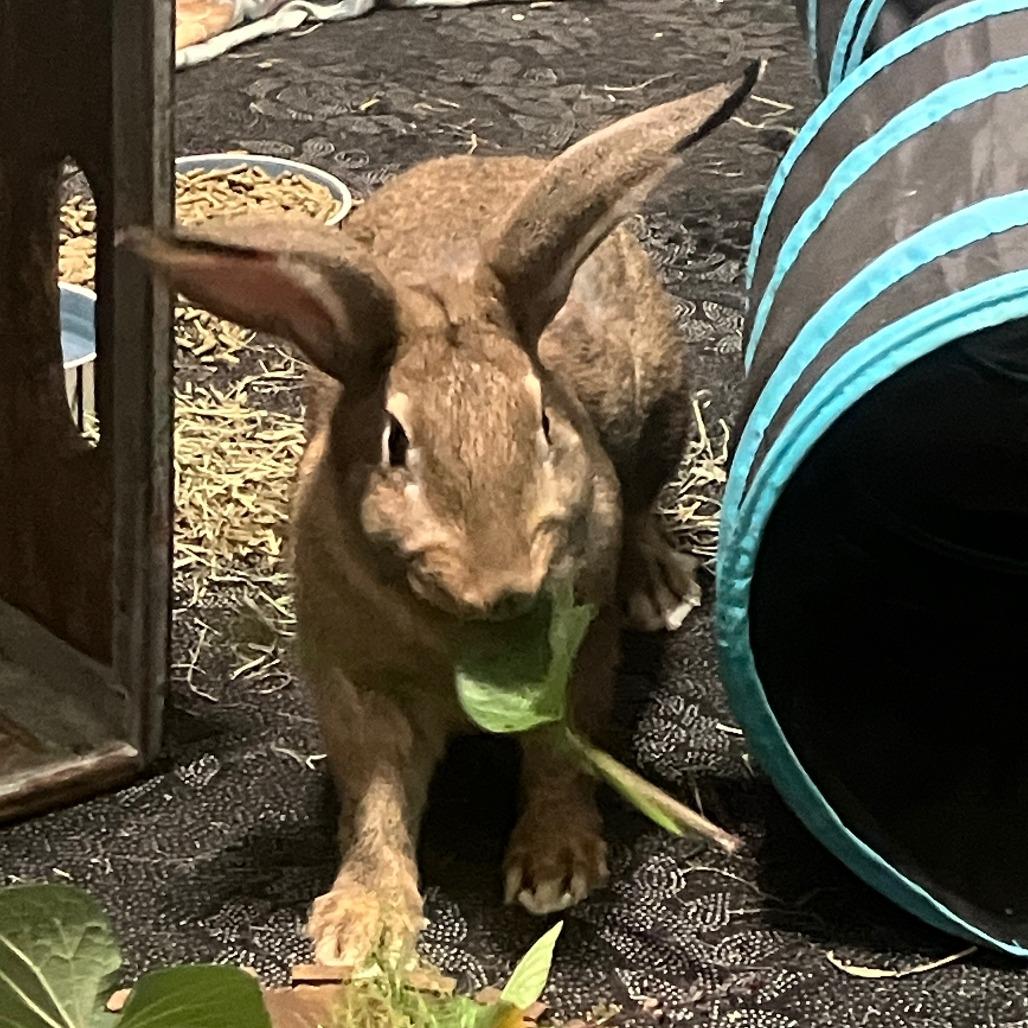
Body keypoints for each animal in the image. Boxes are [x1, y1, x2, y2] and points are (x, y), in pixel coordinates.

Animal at [121, 61, 759, 970]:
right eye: (396, 443)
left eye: (543, 423)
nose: (505, 583)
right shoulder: (357, 685)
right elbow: (379, 798)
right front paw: (360, 928)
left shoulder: (580, 657)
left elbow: (558, 755)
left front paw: (556, 870)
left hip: (663, 408)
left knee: (643, 503)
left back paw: (660, 587)